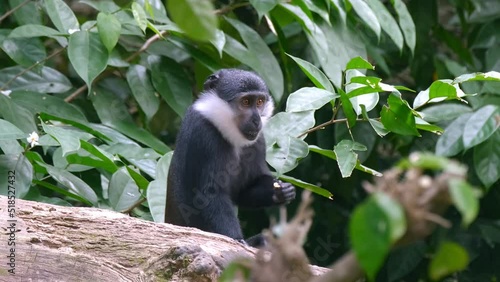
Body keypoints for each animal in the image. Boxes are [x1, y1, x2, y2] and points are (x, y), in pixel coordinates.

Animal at [164, 69, 296, 247]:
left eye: (259, 102)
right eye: (246, 102)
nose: (257, 120)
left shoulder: (258, 141)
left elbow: (243, 191)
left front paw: (281, 191)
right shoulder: (204, 135)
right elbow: (209, 195)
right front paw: (237, 239)